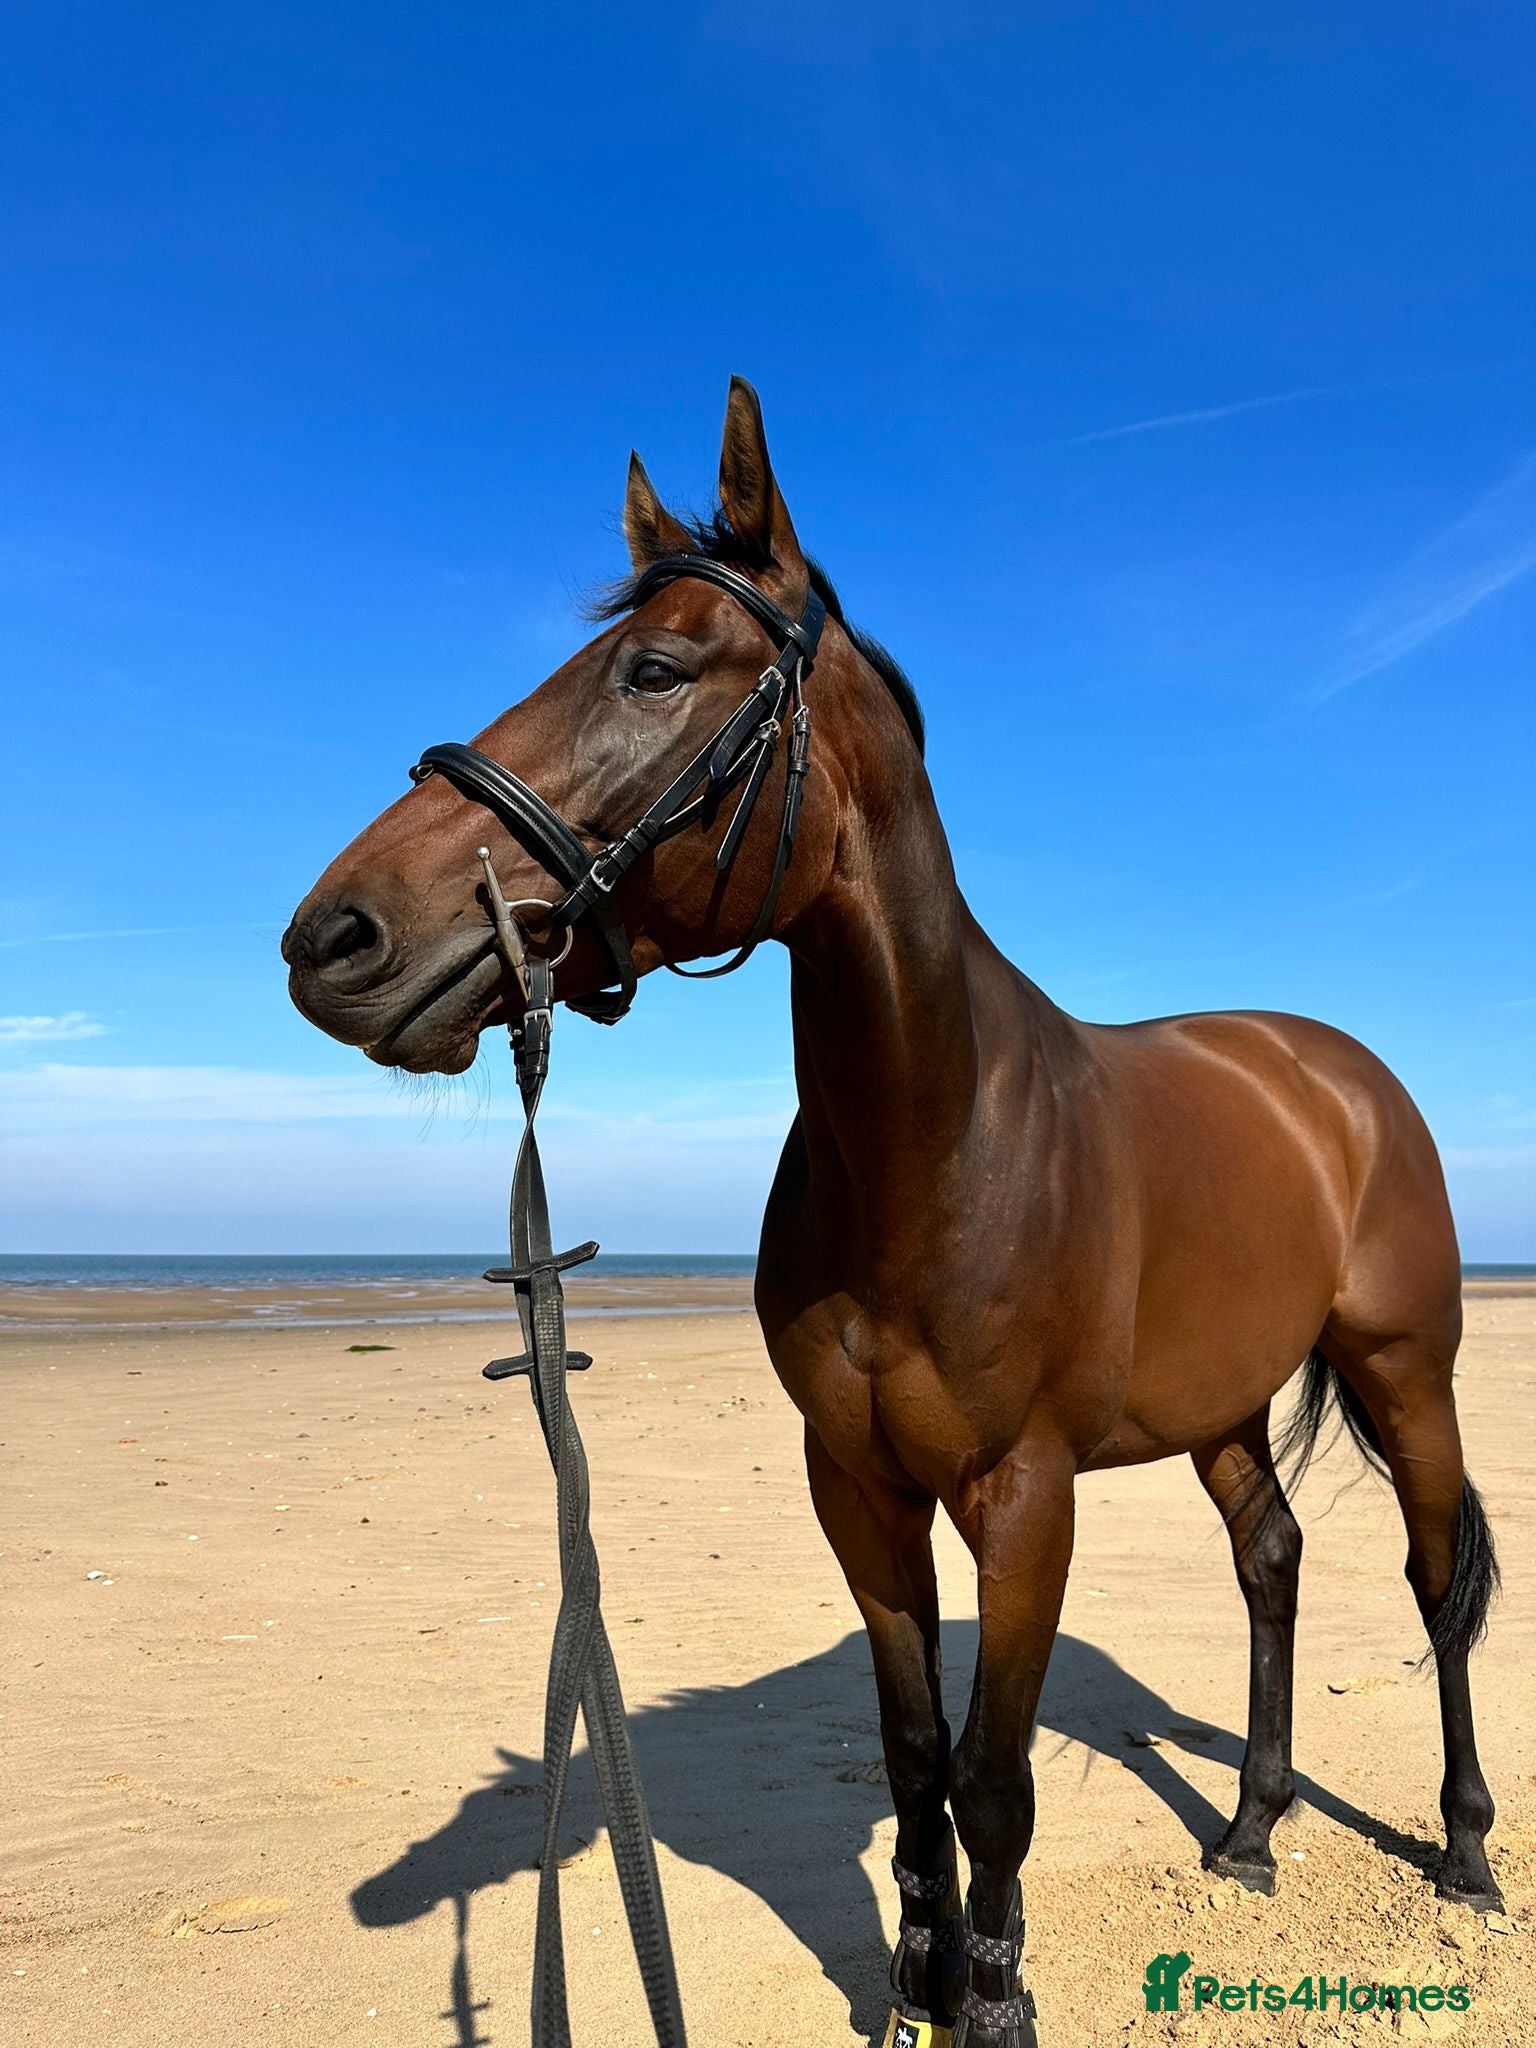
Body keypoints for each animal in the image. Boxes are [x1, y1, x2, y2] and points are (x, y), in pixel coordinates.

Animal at [283, 378, 1502, 2046]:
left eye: (655, 668)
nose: (333, 939)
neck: (938, 1146)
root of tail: (1336, 1073)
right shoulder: (856, 1487)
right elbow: (919, 1753)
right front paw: (919, 1975)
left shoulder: (1025, 1500)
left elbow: (994, 1781)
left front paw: (992, 1998)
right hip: (1226, 1407)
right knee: (1272, 1558)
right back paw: (1251, 1832)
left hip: (1406, 1371)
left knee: (1438, 1587)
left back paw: (1466, 1854)